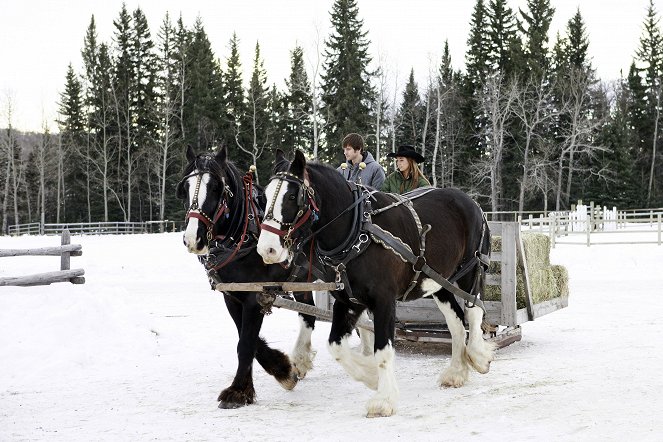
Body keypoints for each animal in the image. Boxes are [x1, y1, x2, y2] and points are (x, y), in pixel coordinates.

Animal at [179, 147, 320, 410]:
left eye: (216, 187)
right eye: (186, 187)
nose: (193, 239)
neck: (244, 236)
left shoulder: (255, 297)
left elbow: (245, 343)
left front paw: (237, 391)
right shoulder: (233, 296)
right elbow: (248, 340)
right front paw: (283, 369)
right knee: (309, 312)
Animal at [256, 150, 496, 416]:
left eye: (291, 196)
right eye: (264, 196)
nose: (267, 249)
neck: (357, 231)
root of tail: (471, 201)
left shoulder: (384, 300)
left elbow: (383, 349)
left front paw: (384, 399)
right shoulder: (348, 301)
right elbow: (336, 346)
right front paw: (370, 376)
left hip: (471, 270)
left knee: (473, 311)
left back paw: (478, 355)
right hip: (438, 281)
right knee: (456, 323)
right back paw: (456, 372)